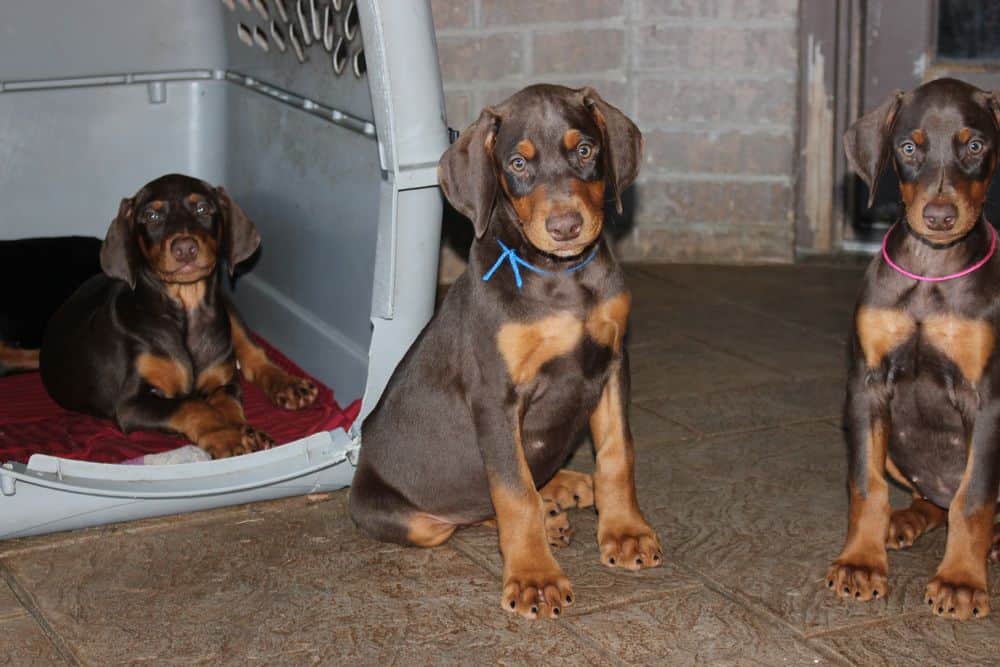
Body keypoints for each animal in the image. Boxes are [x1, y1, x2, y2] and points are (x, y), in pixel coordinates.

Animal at [40, 174, 316, 460]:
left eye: (203, 209)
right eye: (151, 216)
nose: (185, 248)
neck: (186, 308)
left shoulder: (224, 382)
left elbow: (225, 403)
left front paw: (244, 430)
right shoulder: (130, 404)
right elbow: (191, 404)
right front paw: (227, 436)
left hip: (226, 305)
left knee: (252, 353)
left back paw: (288, 384)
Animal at [352, 85, 664, 620]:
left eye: (585, 151)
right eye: (517, 163)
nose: (565, 226)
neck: (560, 277)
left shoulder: (611, 365)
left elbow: (617, 452)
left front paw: (624, 531)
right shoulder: (495, 397)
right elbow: (511, 491)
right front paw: (535, 578)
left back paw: (561, 488)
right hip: (409, 519)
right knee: (467, 512)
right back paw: (546, 516)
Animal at [828, 78, 1000, 620]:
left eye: (975, 145)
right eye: (908, 147)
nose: (939, 216)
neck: (931, 271)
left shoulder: (988, 400)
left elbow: (974, 497)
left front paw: (961, 580)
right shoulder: (866, 388)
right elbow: (866, 486)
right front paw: (861, 563)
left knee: (961, 501)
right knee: (935, 501)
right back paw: (905, 520)